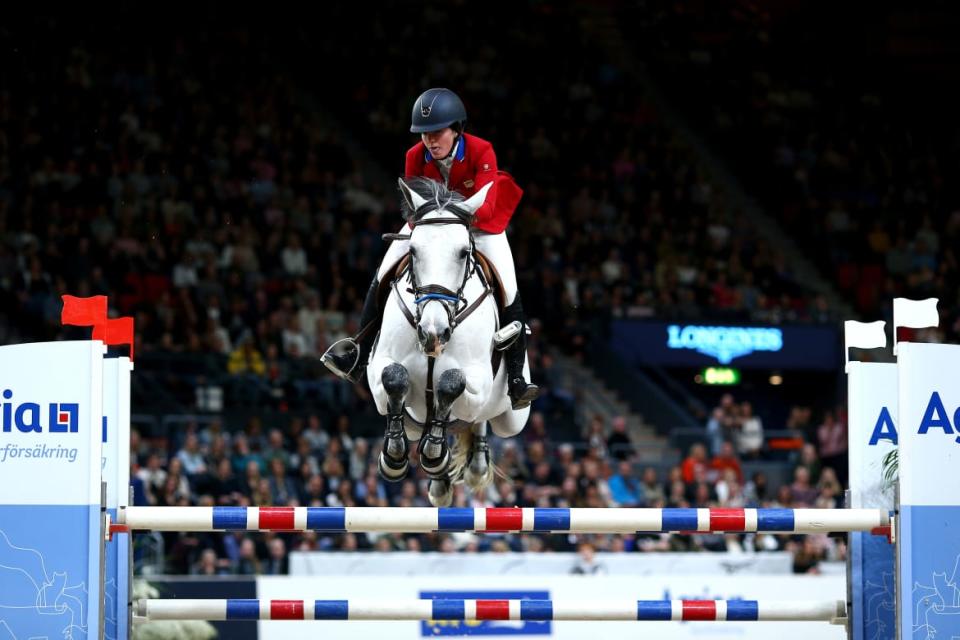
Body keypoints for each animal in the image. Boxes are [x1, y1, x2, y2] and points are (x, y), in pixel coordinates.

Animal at [368, 178, 532, 508]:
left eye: (463, 252)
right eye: (413, 250)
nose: (434, 332)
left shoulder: (478, 381)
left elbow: (450, 381)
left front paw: (434, 454)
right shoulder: (378, 372)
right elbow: (394, 376)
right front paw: (394, 458)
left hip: (512, 419)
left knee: (481, 420)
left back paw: (473, 466)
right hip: (416, 423)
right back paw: (440, 479)